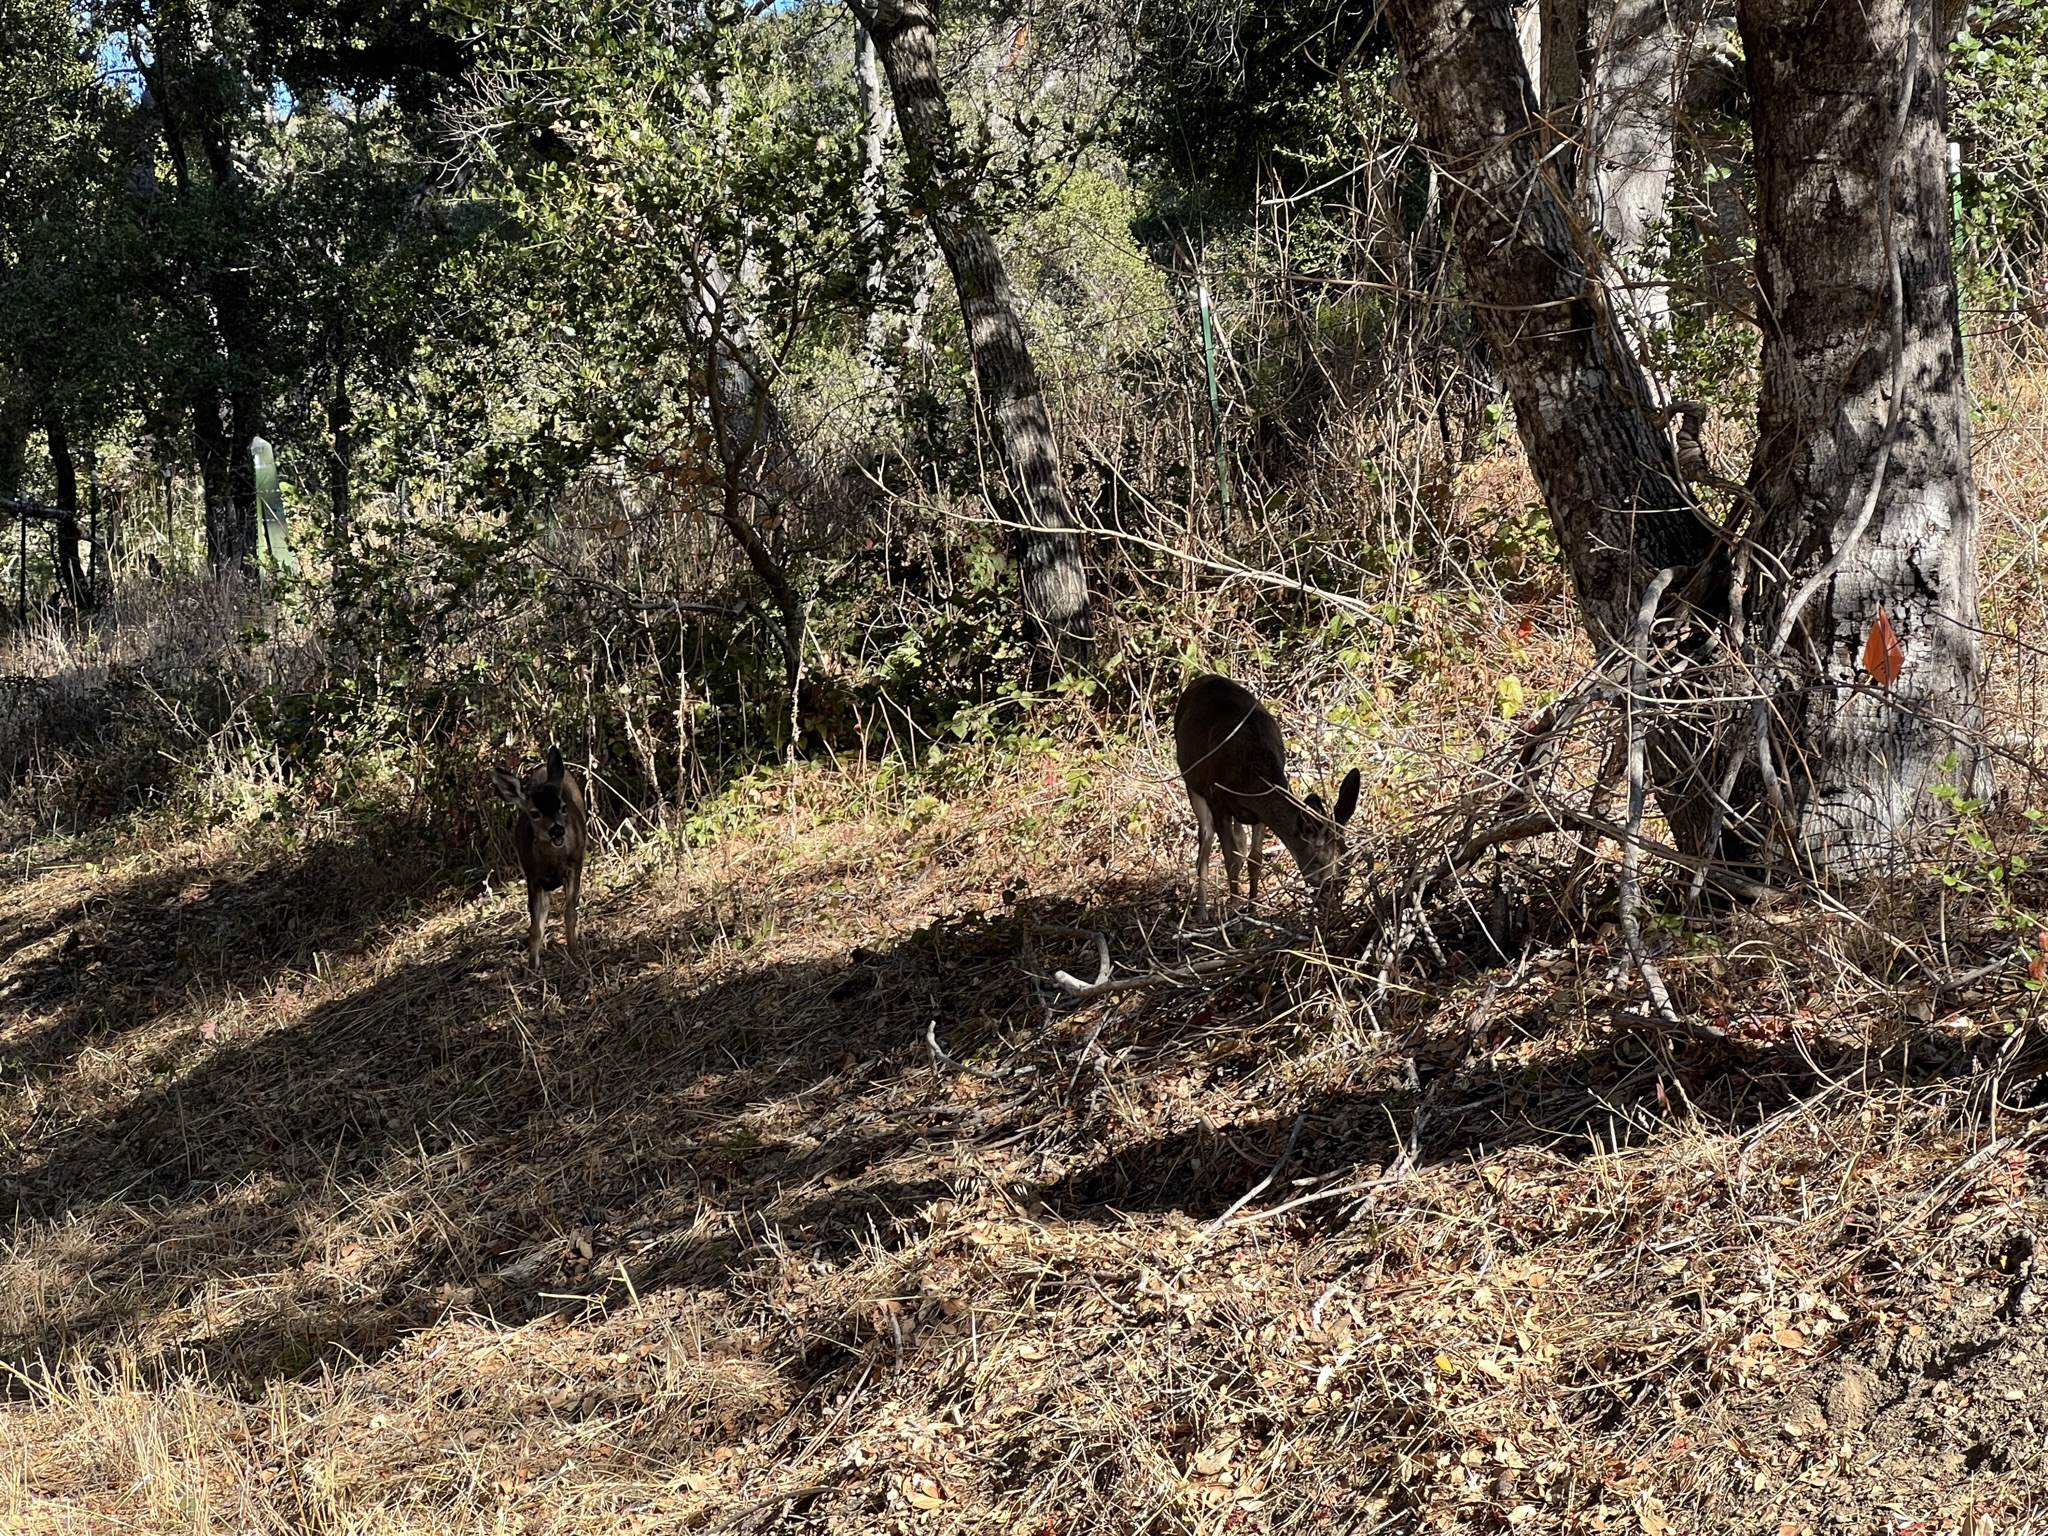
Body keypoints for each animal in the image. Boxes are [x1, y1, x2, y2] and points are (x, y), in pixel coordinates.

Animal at [490, 746, 587, 966]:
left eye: (563, 807)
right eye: (534, 813)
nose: (557, 830)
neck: (551, 864)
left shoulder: (574, 865)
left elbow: (570, 913)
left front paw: (574, 955)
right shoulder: (532, 877)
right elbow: (534, 927)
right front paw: (532, 966)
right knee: (545, 910)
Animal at [1174, 673, 1360, 922]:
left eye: (1347, 870)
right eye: (1323, 870)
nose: (1335, 914)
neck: (1253, 777)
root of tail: (1202, 679)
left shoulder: (1259, 814)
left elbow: (1255, 858)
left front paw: (1253, 909)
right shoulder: (1217, 800)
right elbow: (1231, 859)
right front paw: (1234, 913)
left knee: (1238, 840)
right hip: (1191, 781)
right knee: (1205, 839)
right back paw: (1201, 910)